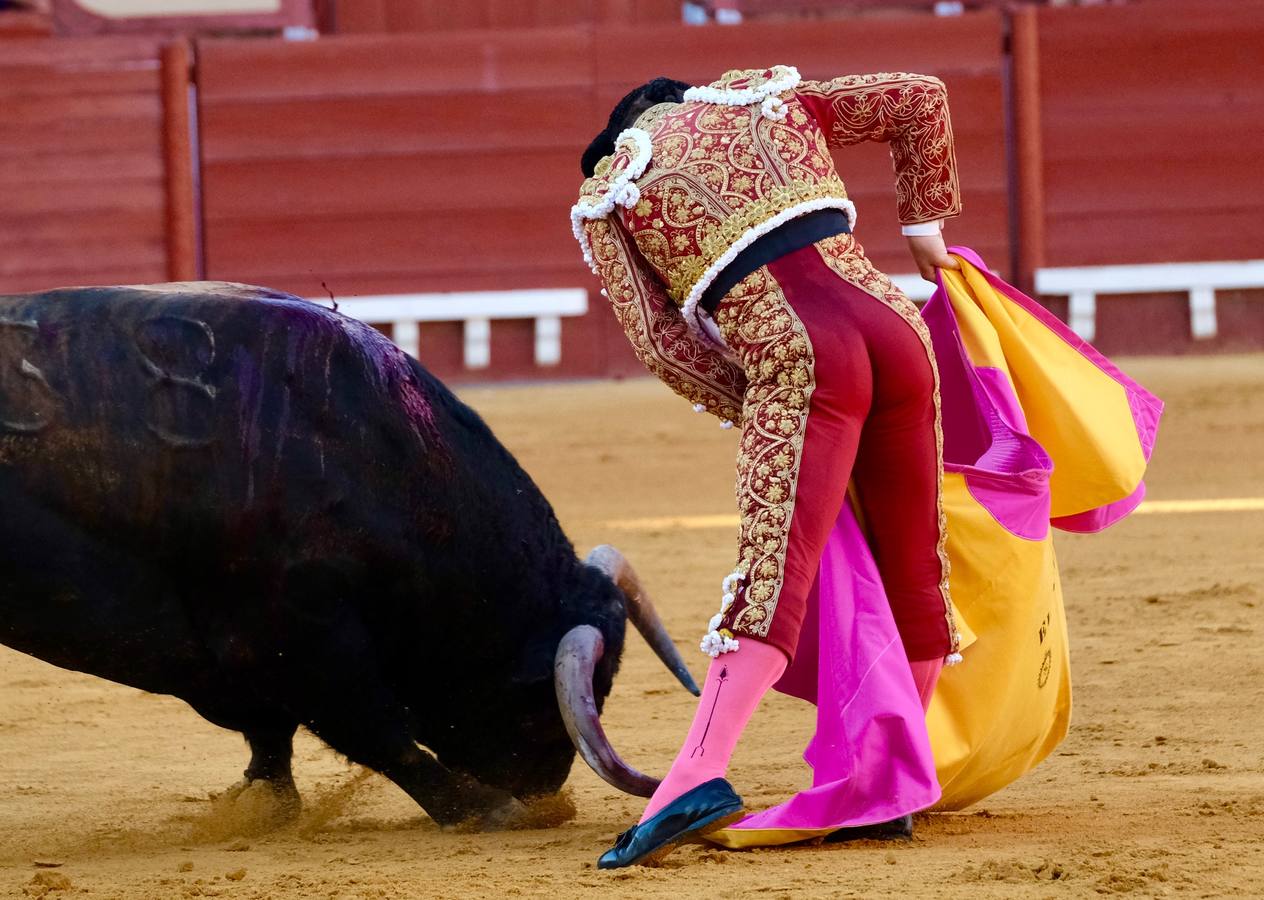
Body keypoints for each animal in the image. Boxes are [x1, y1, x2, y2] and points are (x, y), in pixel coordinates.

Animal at [0, 283, 697, 829]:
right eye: (536, 701)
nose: (546, 794)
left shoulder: (261, 663)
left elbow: (274, 738)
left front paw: (263, 806)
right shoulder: (298, 641)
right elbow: (380, 734)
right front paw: (484, 808)